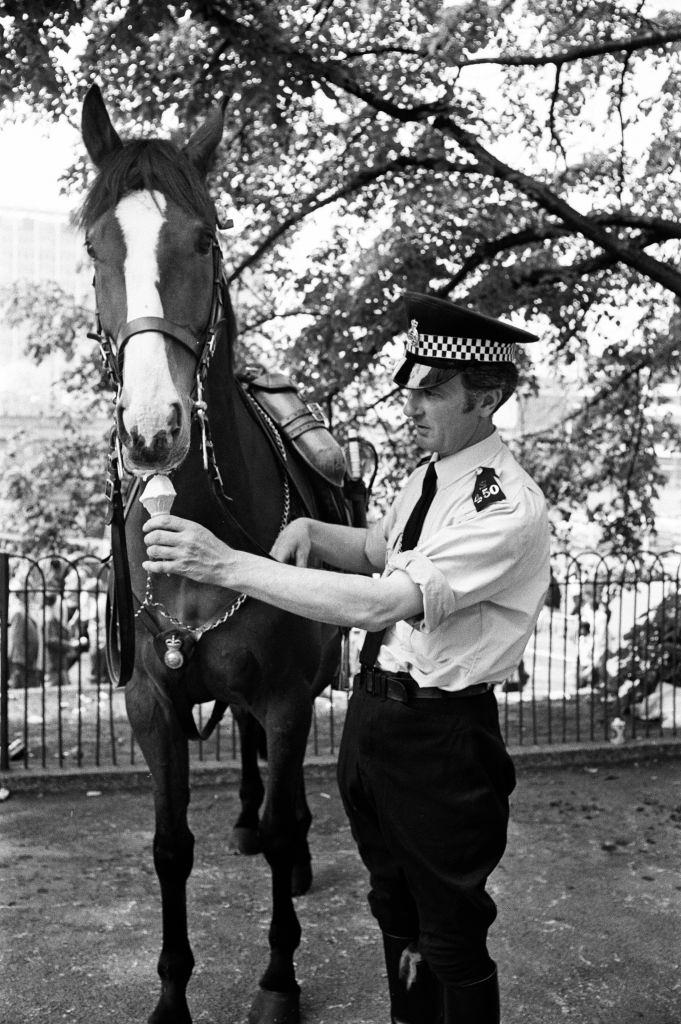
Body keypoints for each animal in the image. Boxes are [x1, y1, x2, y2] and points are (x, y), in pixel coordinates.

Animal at [80, 84, 344, 1024]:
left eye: (204, 240)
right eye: (96, 245)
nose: (153, 430)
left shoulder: (288, 693)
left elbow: (286, 817)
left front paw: (278, 980)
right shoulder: (151, 701)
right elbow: (169, 845)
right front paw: (170, 994)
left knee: (285, 801)